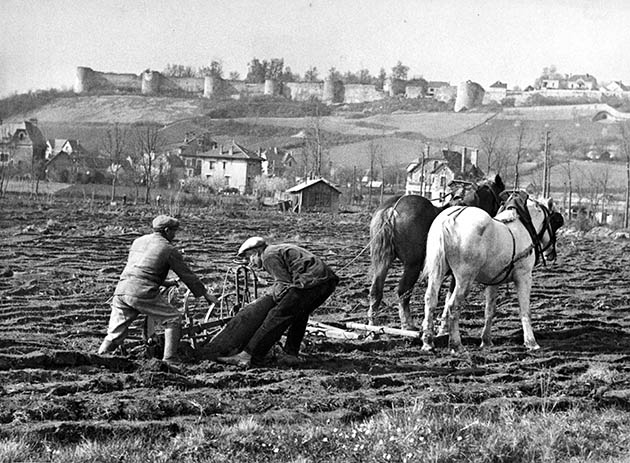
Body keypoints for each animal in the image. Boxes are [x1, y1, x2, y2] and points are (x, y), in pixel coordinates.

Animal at [368, 174, 506, 330]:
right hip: (412, 265)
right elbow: (449, 298)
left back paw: (372, 326)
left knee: (376, 290)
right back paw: (408, 325)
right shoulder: (457, 274)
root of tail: (392, 209)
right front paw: (444, 325)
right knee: (403, 292)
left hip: (382, 261)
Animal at [422, 191, 564, 352]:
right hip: (465, 279)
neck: (524, 226)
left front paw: (486, 340)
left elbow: (489, 310)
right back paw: (456, 344)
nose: (551, 254)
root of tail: (449, 219)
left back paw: (428, 341)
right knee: (453, 306)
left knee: (431, 300)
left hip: (437, 272)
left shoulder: (493, 281)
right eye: (556, 222)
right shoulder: (524, 277)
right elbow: (525, 310)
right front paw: (531, 342)